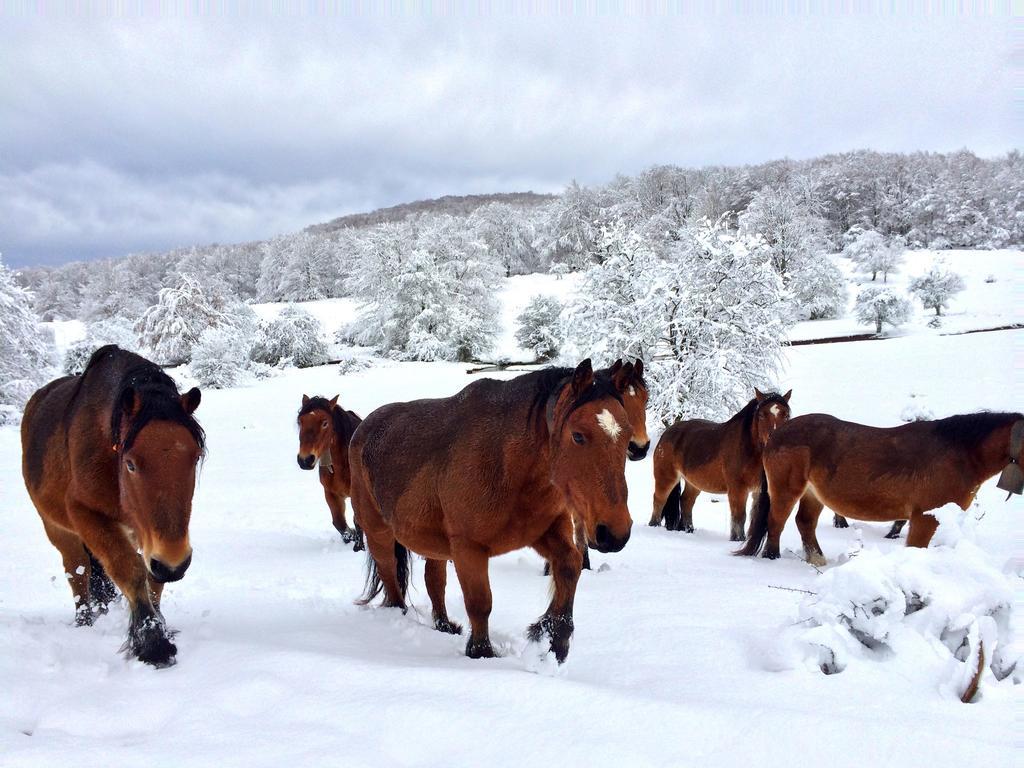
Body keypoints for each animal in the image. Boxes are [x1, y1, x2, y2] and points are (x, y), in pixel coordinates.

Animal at [21, 348, 203, 667]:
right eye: (130, 464)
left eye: (194, 458)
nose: (173, 563)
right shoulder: (86, 514)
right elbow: (129, 570)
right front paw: (152, 642)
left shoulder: (147, 535)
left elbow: (152, 581)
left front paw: (159, 626)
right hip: (58, 529)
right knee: (77, 572)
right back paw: (84, 623)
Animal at [296, 393, 364, 548]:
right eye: (300, 422)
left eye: (325, 423)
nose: (305, 460)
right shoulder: (331, 493)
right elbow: (339, 523)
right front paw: (350, 537)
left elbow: (358, 521)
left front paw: (359, 546)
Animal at [350, 358, 630, 663]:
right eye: (578, 436)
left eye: (627, 436)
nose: (615, 533)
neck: (506, 461)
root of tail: (364, 427)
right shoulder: (468, 547)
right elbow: (480, 603)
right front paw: (481, 653)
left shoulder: (544, 531)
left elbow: (570, 565)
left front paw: (554, 638)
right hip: (378, 533)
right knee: (390, 577)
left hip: (434, 545)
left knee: (433, 580)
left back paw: (444, 626)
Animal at [647, 391, 790, 540]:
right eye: (761, 415)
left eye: (786, 415)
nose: (775, 439)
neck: (747, 449)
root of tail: (667, 433)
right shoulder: (737, 489)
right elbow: (739, 516)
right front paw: (737, 539)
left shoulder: (757, 491)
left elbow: (752, 518)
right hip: (666, 478)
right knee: (659, 500)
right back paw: (654, 525)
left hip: (693, 483)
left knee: (686, 501)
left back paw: (688, 529)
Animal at [737, 411, 1024, 569]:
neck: (959, 454)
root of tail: (776, 435)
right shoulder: (924, 518)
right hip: (787, 491)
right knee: (775, 523)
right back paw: (772, 558)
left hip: (812, 495)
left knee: (804, 523)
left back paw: (817, 561)